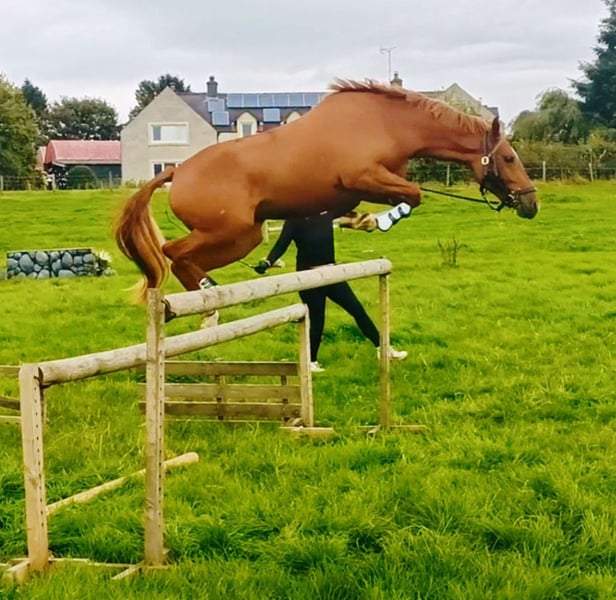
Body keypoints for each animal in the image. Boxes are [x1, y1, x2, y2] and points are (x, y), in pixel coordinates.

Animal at [115, 79, 538, 305]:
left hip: (242, 237)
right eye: (509, 158)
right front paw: (380, 221)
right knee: (173, 252)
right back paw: (208, 296)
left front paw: (362, 221)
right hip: (228, 231)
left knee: (182, 259)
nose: (531, 203)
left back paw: (208, 299)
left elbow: (378, 204)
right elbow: (414, 195)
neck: (387, 124)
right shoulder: (364, 177)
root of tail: (177, 171)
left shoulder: (360, 190)